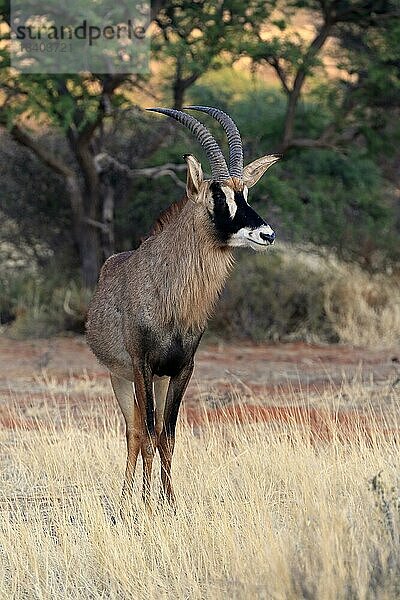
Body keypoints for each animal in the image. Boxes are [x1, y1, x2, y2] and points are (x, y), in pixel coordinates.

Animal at [86, 105, 282, 508]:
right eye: (217, 197)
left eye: (245, 193)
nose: (266, 234)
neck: (170, 297)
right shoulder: (142, 367)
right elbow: (147, 435)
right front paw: (146, 506)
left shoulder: (181, 370)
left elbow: (168, 437)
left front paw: (169, 503)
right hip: (121, 377)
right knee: (133, 431)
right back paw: (126, 500)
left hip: (158, 381)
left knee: (150, 429)